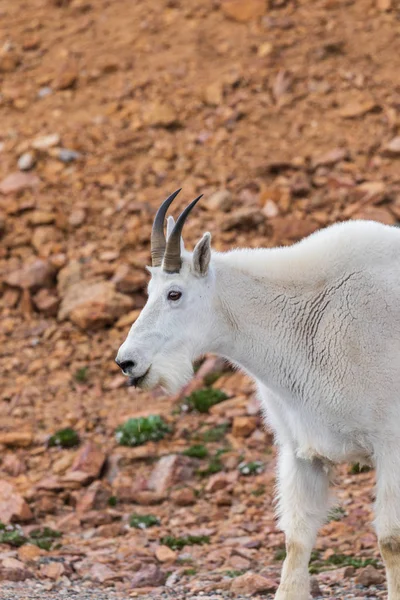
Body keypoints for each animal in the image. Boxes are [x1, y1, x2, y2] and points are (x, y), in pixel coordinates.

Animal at [116, 189, 400, 600]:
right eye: (149, 292)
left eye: (174, 293)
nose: (127, 362)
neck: (307, 324)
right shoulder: (301, 450)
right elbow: (296, 538)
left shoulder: (391, 444)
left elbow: (390, 539)